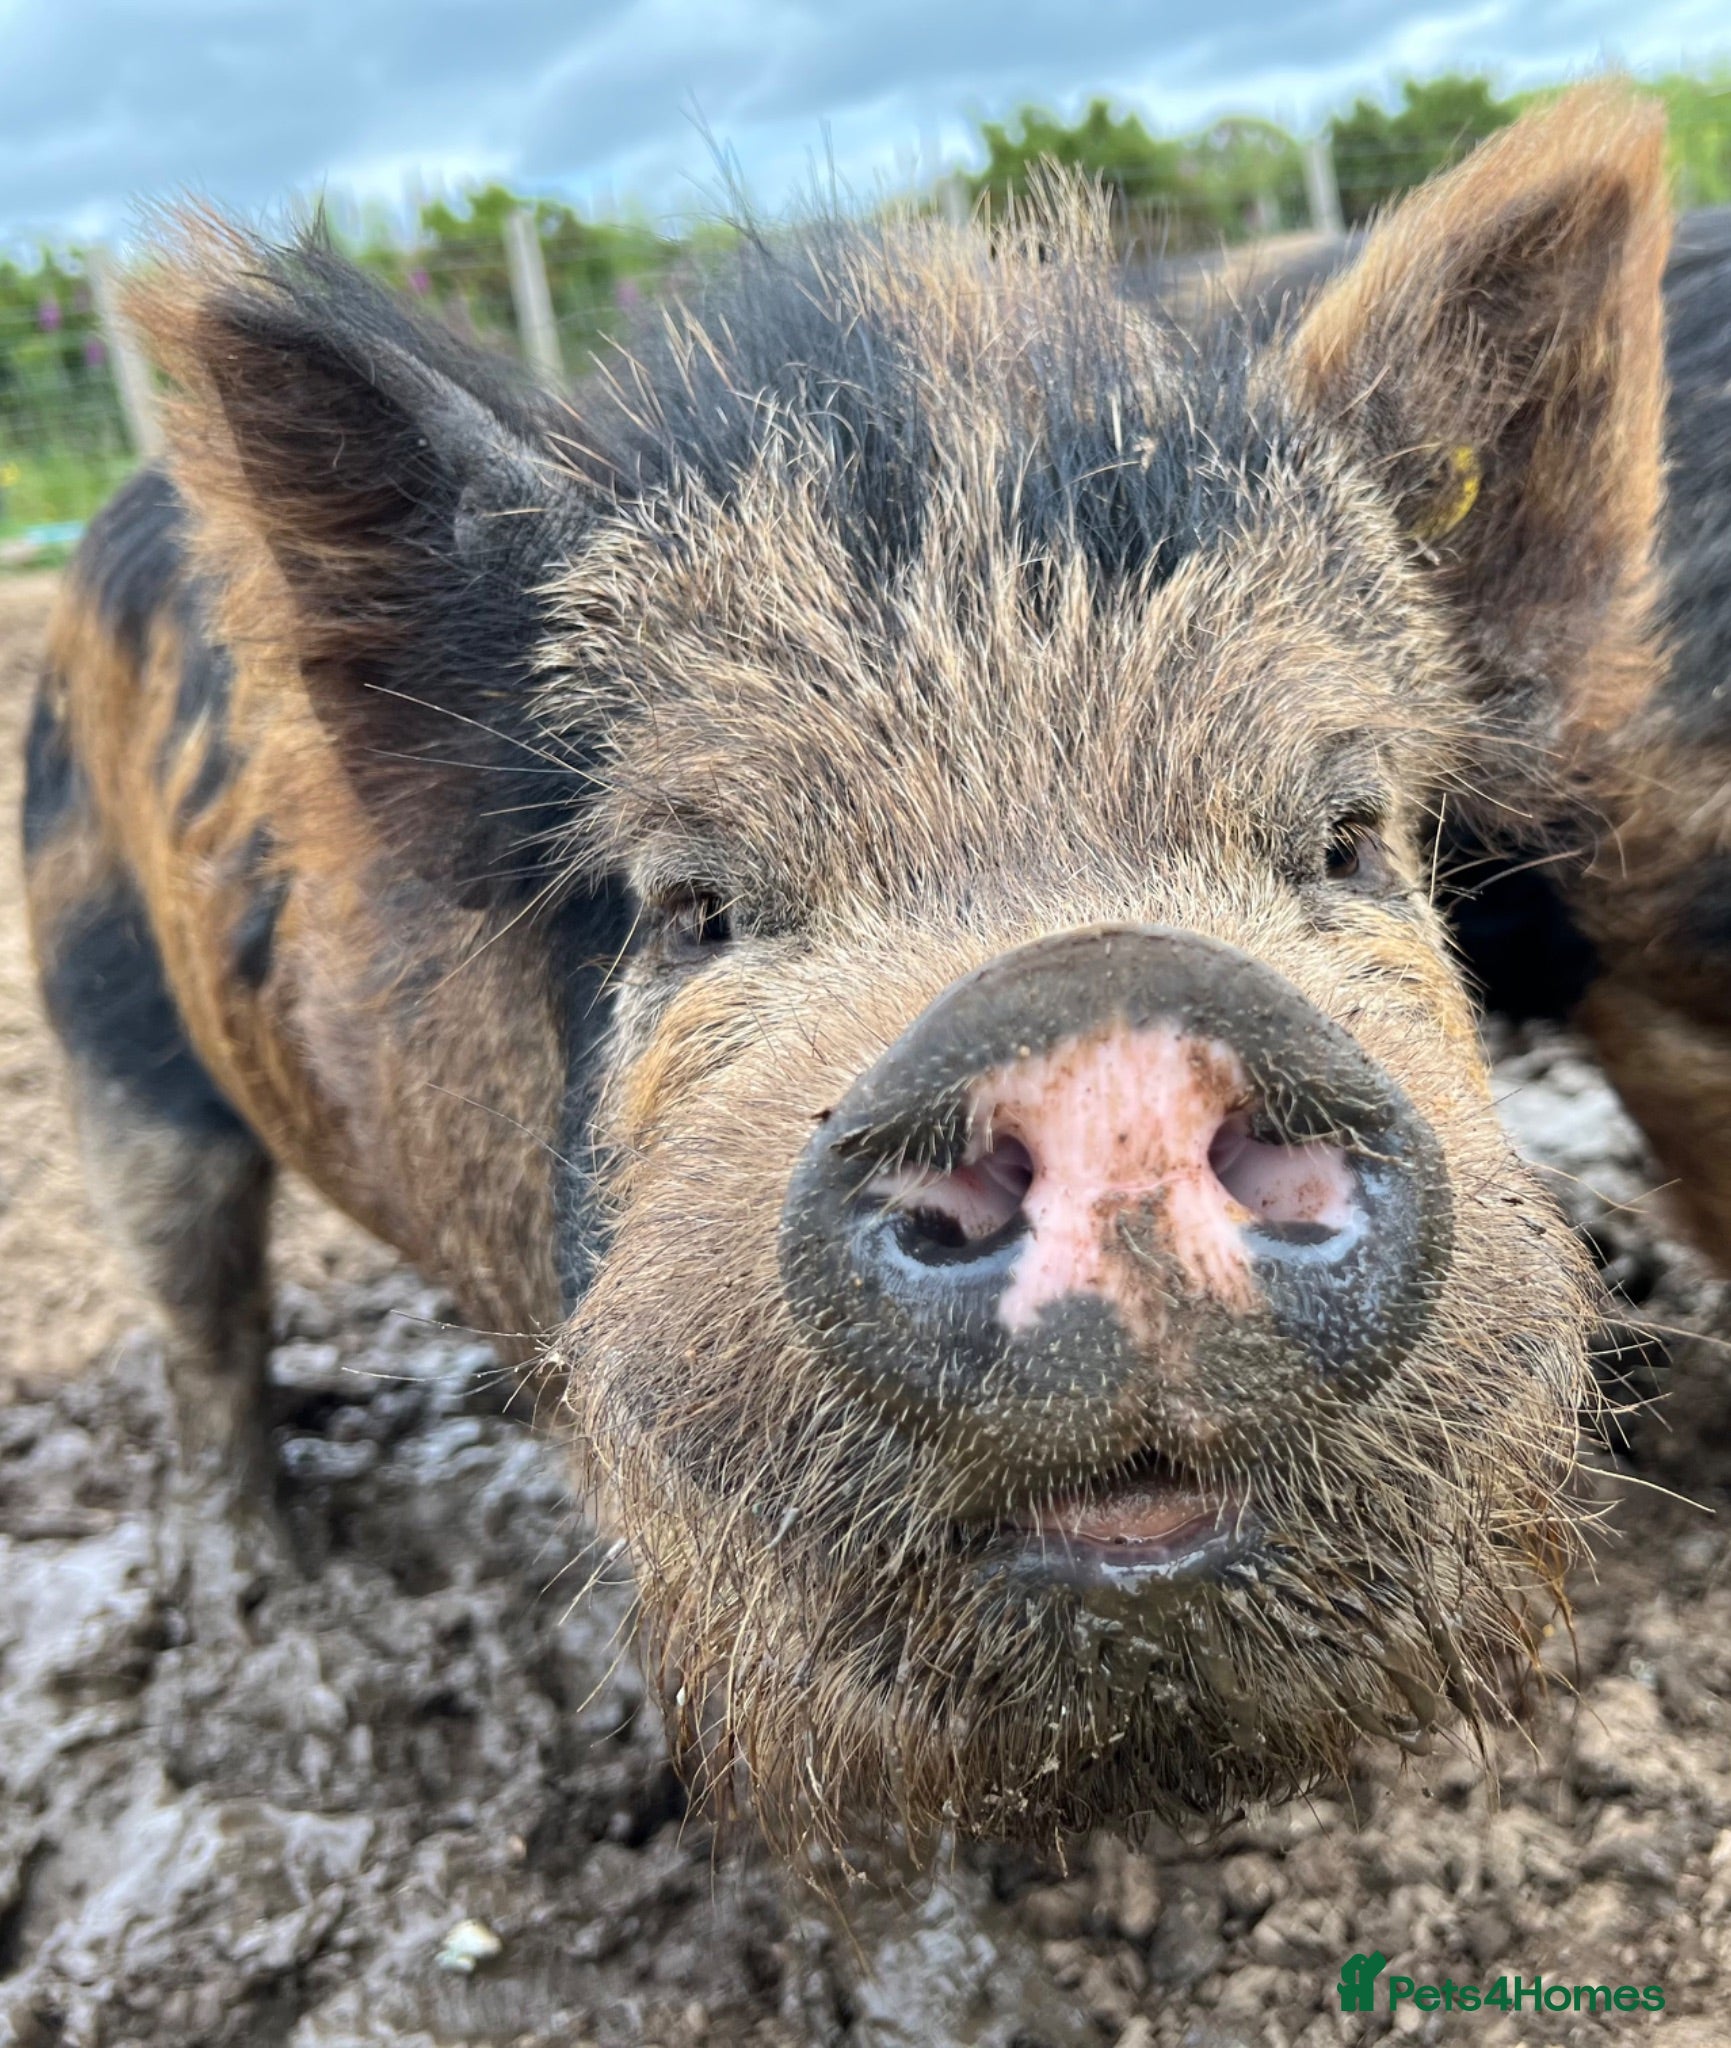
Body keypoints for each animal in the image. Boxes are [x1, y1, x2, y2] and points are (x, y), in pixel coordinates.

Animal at [23, 86, 1687, 1858]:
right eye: (692, 905)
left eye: (1346, 837)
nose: (1101, 1034)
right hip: (109, 1039)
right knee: (198, 1316)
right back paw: (263, 1600)